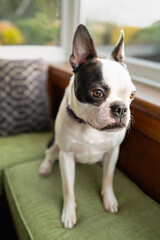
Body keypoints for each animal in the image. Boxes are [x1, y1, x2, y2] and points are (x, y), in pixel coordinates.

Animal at [38, 24, 135, 229]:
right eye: (97, 93)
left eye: (132, 95)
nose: (121, 108)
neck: (89, 127)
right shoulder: (66, 156)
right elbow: (68, 188)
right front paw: (69, 213)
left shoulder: (113, 151)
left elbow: (108, 179)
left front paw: (109, 200)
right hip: (54, 143)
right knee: (49, 154)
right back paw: (45, 167)